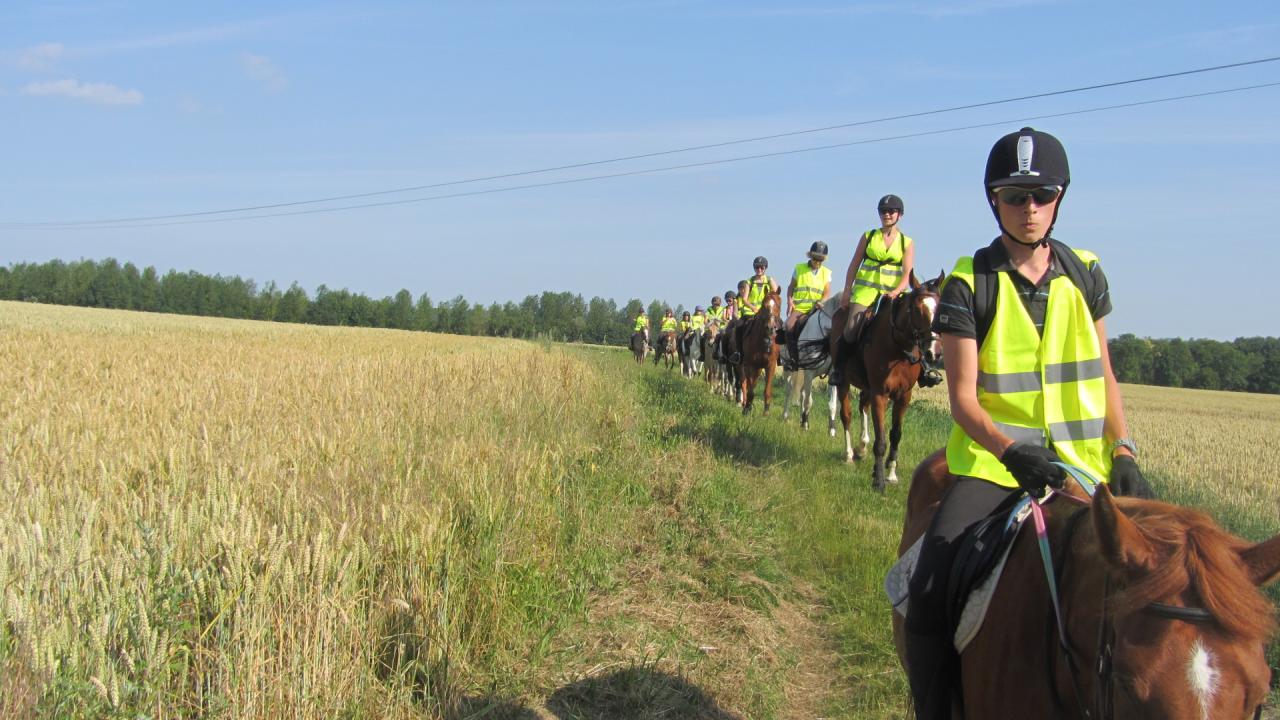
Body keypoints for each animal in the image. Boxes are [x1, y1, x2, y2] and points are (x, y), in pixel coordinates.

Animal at [829, 271, 942, 489]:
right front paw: (879, 481)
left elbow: (895, 435)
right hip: (844, 382)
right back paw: (849, 455)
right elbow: (881, 440)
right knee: (847, 415)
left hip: (867, 388)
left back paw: (862, 448)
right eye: (918, 309)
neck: (898, 348)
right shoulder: (880, 394)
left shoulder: (904, 396)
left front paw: (891, 474)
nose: (934, 352)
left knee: (863, 408)